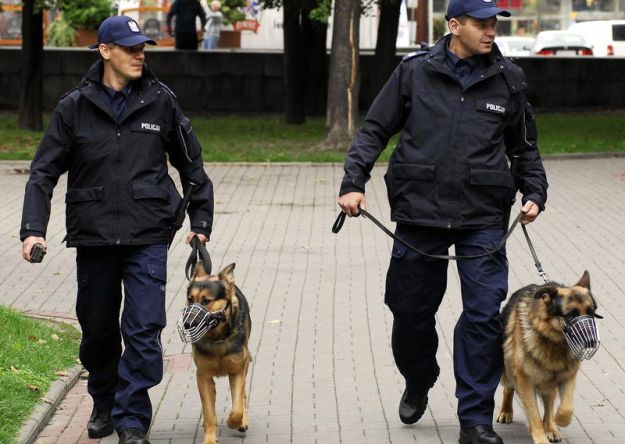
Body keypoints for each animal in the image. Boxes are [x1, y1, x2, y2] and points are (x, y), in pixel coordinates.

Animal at [185, 264, 251, 444]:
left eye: (206, 301)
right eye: (190, 299)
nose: (187, 324)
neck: (217, 338)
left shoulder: (237, 371)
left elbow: (237, 407)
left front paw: (234, 422)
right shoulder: (203, 376)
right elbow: (209, 413)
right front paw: (209, 439)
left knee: (243, 396)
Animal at [494, 270, 604, 444]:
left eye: (591, 313)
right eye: (571, 314)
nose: (592, 341)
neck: (555, 343)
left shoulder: (568, 376)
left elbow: (565, 408)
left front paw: (558, 420)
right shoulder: (524, 381)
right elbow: (533, 413)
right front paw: (540, 438)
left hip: (549, 382)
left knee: (549, 404)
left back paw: (551, 427)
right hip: (508, 370)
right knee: (508, 388)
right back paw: (506, 411)